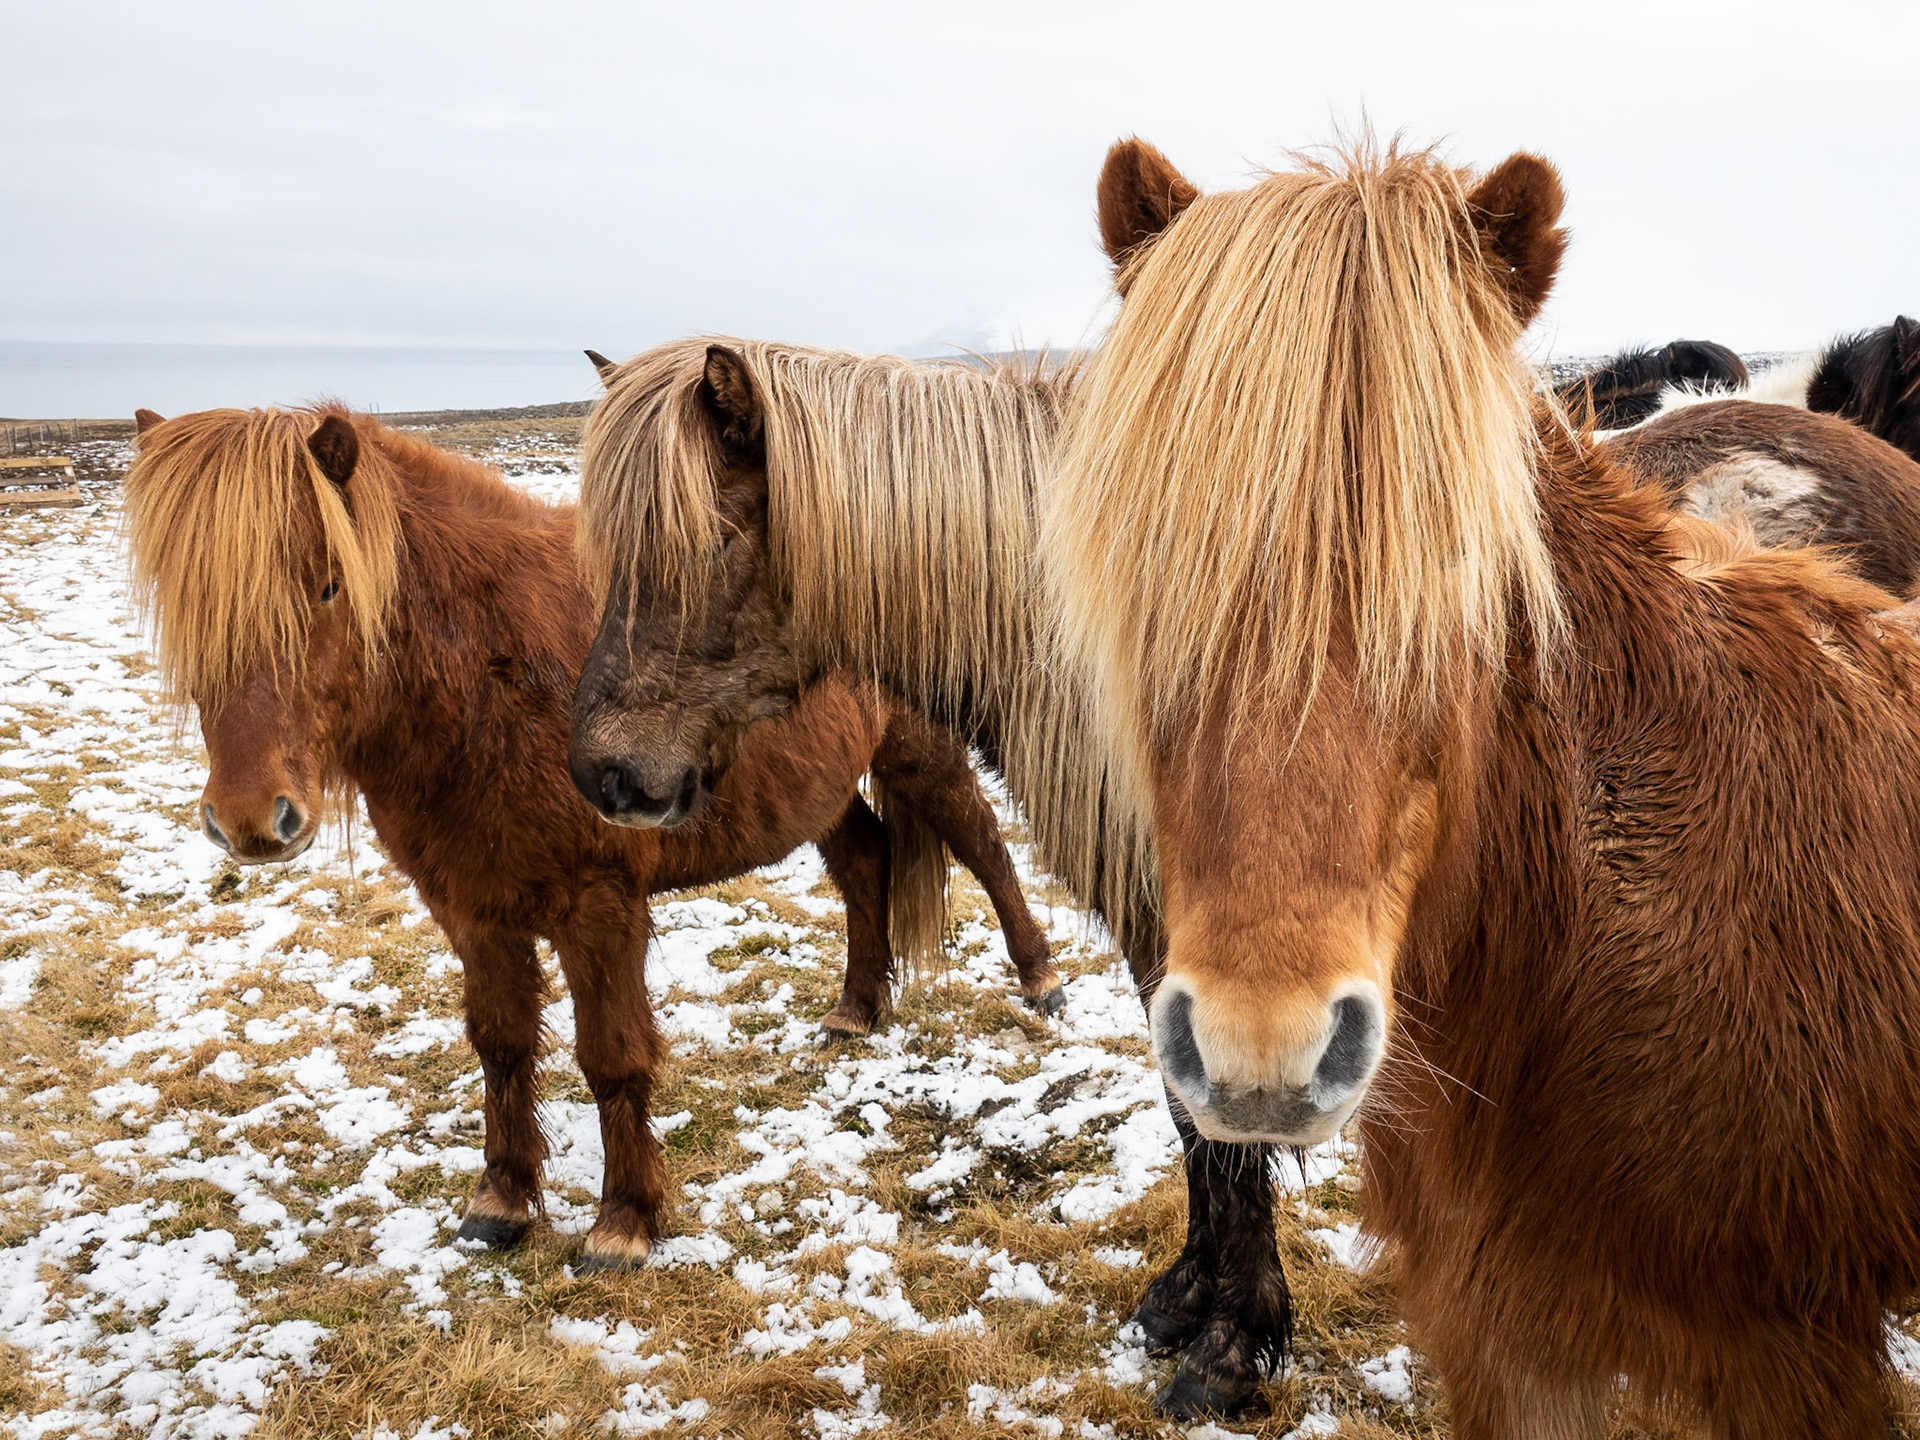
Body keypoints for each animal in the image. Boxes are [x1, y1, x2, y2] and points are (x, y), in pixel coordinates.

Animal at [121, 404, 1062, 1272]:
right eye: (188, 611)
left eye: (327, 587)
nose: (252, 820)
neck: (487, 673)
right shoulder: (473, 908)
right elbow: (500, 1044)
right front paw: (502, 1201)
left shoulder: (598, 907)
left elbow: (611, 1056)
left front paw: (624, 1223)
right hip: (820, 786)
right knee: (867, 862)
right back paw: (856, 1011)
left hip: (918, 751)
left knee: (984, 844)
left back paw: (1040, 981)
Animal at [565, 344, 1293, 1417]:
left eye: (715, 539)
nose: (602, 776)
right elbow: (1188, 1117)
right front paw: (1187, 1302)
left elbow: (1226, 1128)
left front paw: (1233, 1349)